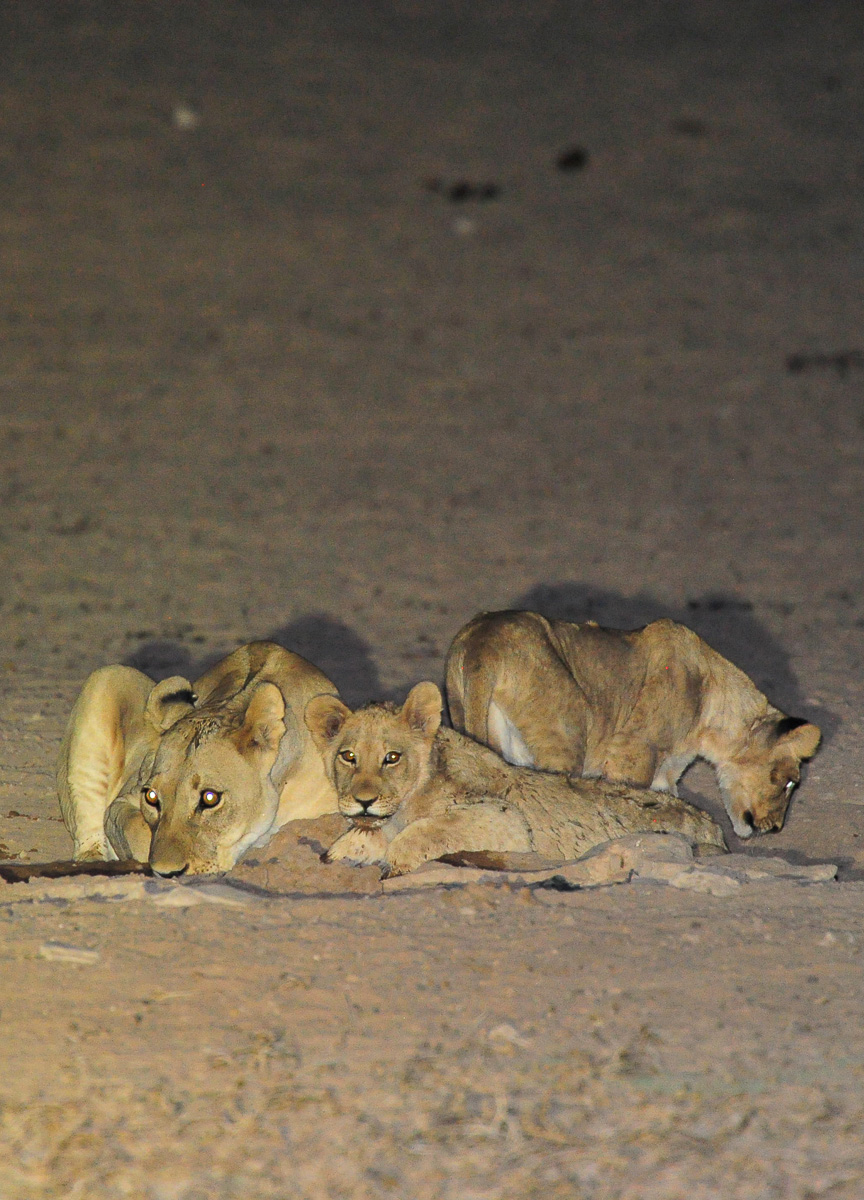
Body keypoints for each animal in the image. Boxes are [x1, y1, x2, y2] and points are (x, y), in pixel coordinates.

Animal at [57, 642, 339, 875]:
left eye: (210, 798)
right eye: (151, 797)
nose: (168, 873)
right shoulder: (125, 799)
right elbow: (131, 827)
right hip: (109, 676)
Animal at [305, 682, 726, 877]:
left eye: (392, 758)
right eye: (348, 756)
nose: (364, 801)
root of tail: (715, 827)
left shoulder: (506, 821)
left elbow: (427, 830)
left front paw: (394, 863)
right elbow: (367, 836)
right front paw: (342, 850)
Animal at [445, 611, 822, 839]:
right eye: (790, 782)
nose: (776, 828)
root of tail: (483, 644)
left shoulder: (666, 773)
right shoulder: (633, 750)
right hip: (567, 731)